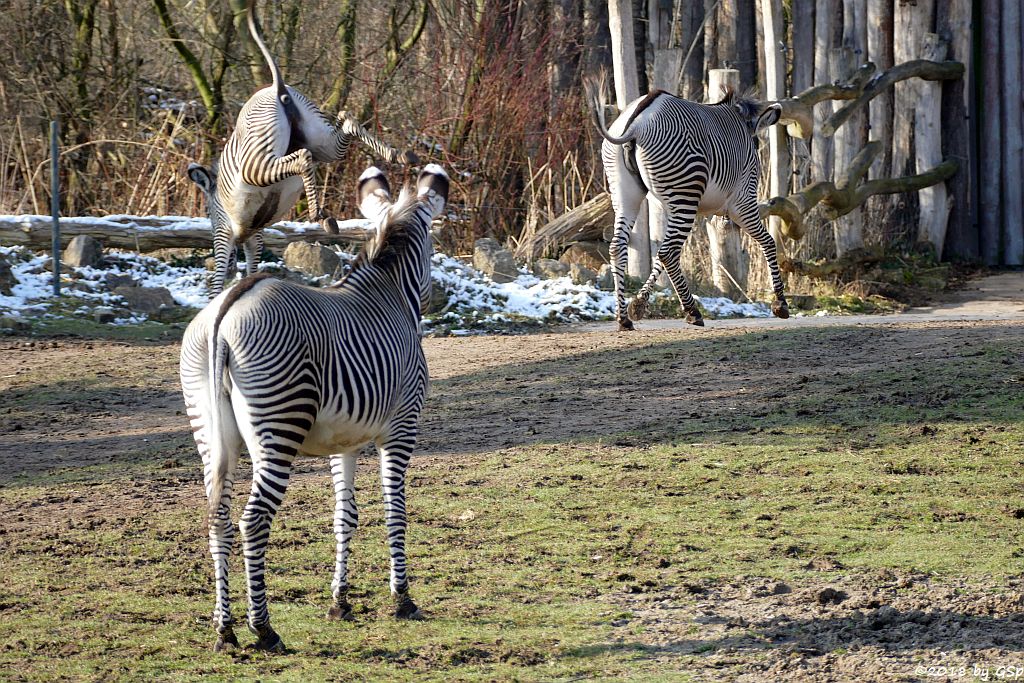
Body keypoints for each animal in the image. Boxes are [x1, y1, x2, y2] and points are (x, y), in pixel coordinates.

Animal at [179, 162, 448, 655]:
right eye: (434, 247)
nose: (438, 296)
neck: (388, 292)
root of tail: (229, 306)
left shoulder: (345, 441)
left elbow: (345, 516)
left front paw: (340, 602)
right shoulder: (401, 429)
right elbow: (394, 509)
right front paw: (402, 599)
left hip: (209, 431)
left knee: (217, 518)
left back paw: (225, 630)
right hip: (279, 426)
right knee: (253, 521)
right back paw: (263, 629)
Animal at [186, 0, 417, 299]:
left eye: (207, 210)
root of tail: (277, 87)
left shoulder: (226, 232)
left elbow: (218, 280)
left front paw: (217, 300)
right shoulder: (255, 233)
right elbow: (251, 268)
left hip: (255, 164)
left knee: (302, 158)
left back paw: (320, 215)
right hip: (324, 143)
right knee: (347, 121)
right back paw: (398, 155)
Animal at [585, 74, 790, 331]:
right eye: (754, 146)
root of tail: (636, 123)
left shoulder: (673, 207)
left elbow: (657, 258)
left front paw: (639, 303)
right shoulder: (741, 204)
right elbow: (768, 242)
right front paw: (780, 303)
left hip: (628, 193)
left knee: (620, 247)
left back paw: (624, 318)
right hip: (686, 197)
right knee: (667, 252)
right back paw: (692, 311)